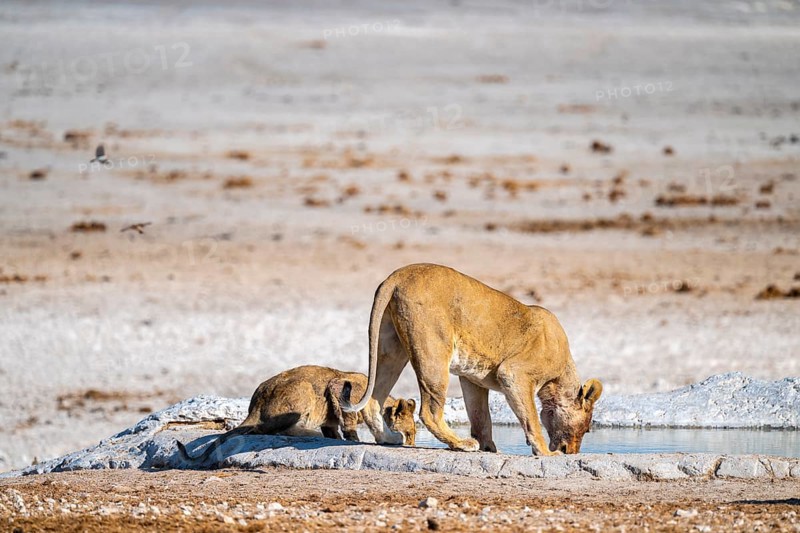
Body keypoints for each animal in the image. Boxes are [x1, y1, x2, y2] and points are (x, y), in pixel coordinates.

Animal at [176, 365, 414, 465]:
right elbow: (350, 424)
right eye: (411, 433)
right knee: (270, 429)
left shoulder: (331, 416)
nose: (411, 444)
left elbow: (334, 427)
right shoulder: (341, 387)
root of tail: (254, 406)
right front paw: (355, 440)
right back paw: (309, 433)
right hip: (304, 388)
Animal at [342, 263, 603, 456]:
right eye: (587, 428)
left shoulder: (473, 380)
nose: (572, 452)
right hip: (433, 354)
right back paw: (462, 444)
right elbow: (531, 419)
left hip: (391, 349)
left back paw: (388, 438)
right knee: (429, 412)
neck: (559, 379)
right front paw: (546, 453)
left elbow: (481, 417)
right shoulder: (514, 373)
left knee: (374, 399)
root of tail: (397, 275)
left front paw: (490, 449)